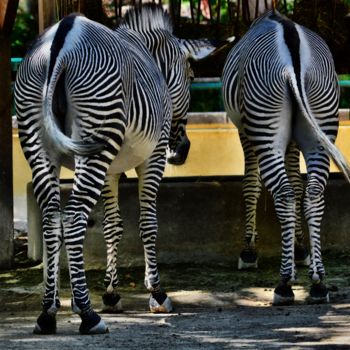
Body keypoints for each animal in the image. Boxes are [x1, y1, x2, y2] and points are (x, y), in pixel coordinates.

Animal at [223, 10, 350, 306]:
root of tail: (289, 33)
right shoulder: (292, 138)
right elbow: (297, 182)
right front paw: (301, 250)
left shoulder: (245, 133)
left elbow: (251, 185)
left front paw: (249, 251)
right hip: (320, 125)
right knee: (312, 193)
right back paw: (318, 282)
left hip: (264, 128)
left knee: (283, 193)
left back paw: (283, 284)